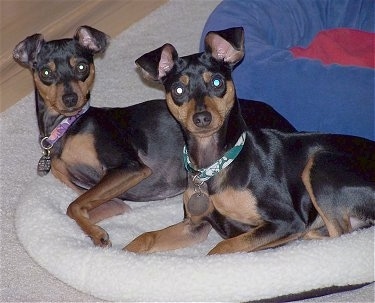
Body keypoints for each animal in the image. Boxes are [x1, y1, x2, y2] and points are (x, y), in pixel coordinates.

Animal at [12, 26, 296, 248]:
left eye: (82, 67)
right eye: (46, 73)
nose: (71, 99)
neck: (69, 127)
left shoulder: (130, 168)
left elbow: (72, 206)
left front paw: (97, 234)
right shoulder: (111, 200)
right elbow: (76, 208)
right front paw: (92, 231)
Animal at [126, 27, 375, 255]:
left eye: (217, 82)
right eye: (178, 89)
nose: (202, 118)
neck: (215, 165)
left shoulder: (286, 221)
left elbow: (221, 247)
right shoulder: (194, 225)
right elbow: (146, 237)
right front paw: (122, 255)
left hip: (319, 165)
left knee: (338, 236)